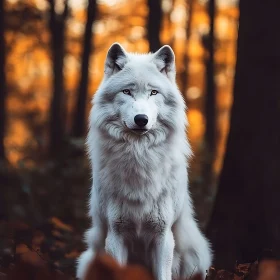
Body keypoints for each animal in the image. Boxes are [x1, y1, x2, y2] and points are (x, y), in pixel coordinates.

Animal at [75, 43, 211, 280]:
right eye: (127, 91)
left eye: (153, 92)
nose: (141, 119)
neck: (139, 157)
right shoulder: (116, 234)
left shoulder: (163, 235)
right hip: (88, 260)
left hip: (196, 255)